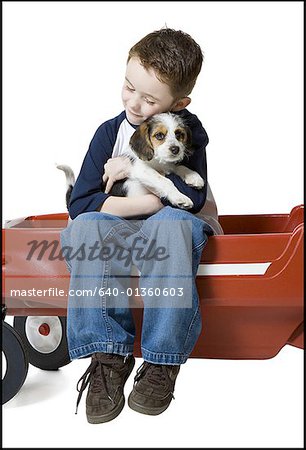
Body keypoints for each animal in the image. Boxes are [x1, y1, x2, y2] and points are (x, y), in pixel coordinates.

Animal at [57, 112, 206, 211]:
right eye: (159, 135)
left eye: (179, 134)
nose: (176, 149)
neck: (157, 161)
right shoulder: (140, 169)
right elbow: (165, 180)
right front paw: (179, 197)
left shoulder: (168, 164)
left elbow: (179, 167)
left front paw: (194, 177)